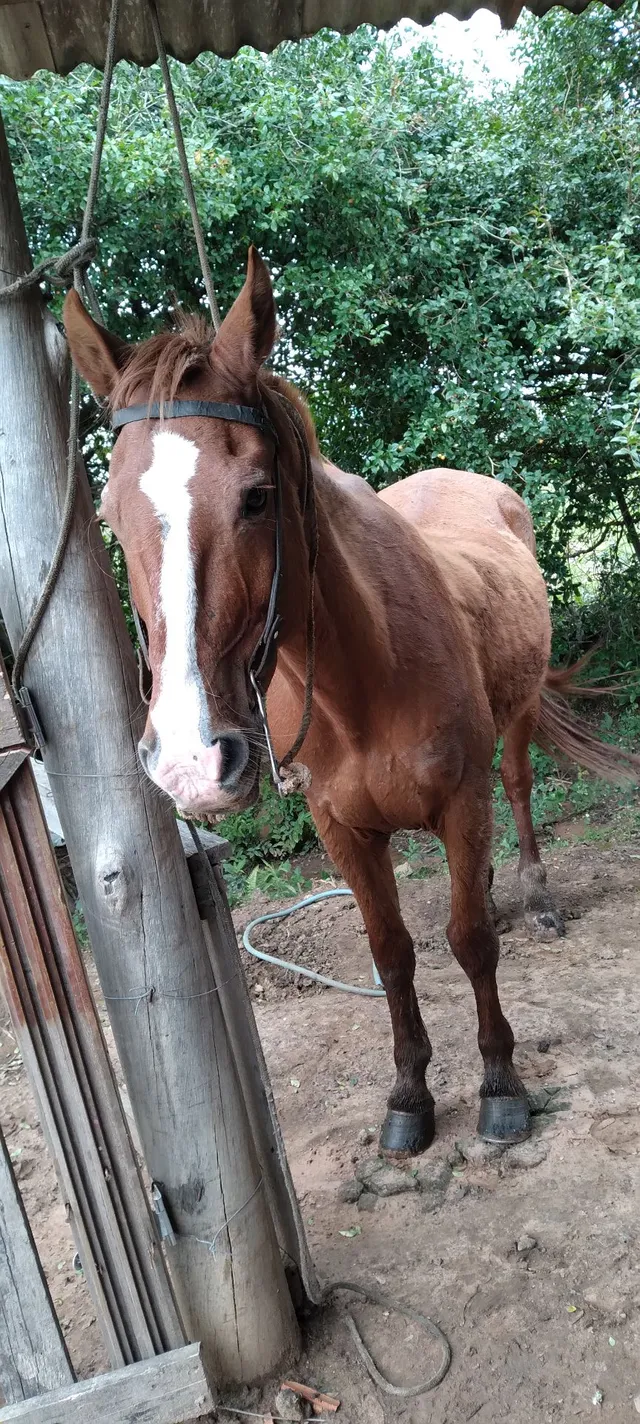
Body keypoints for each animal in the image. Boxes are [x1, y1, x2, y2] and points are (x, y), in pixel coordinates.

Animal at [63, 248, 639, 1157]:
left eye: (256, 496)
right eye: (112, 515)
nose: (192, 760)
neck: (364, 680)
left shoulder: (460, 800)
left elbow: (469, 942)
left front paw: (500, 1086)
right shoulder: (342, 828)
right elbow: (393, 950)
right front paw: (409, 1096)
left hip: (513, 725)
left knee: (519, 790)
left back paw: (537, 899)